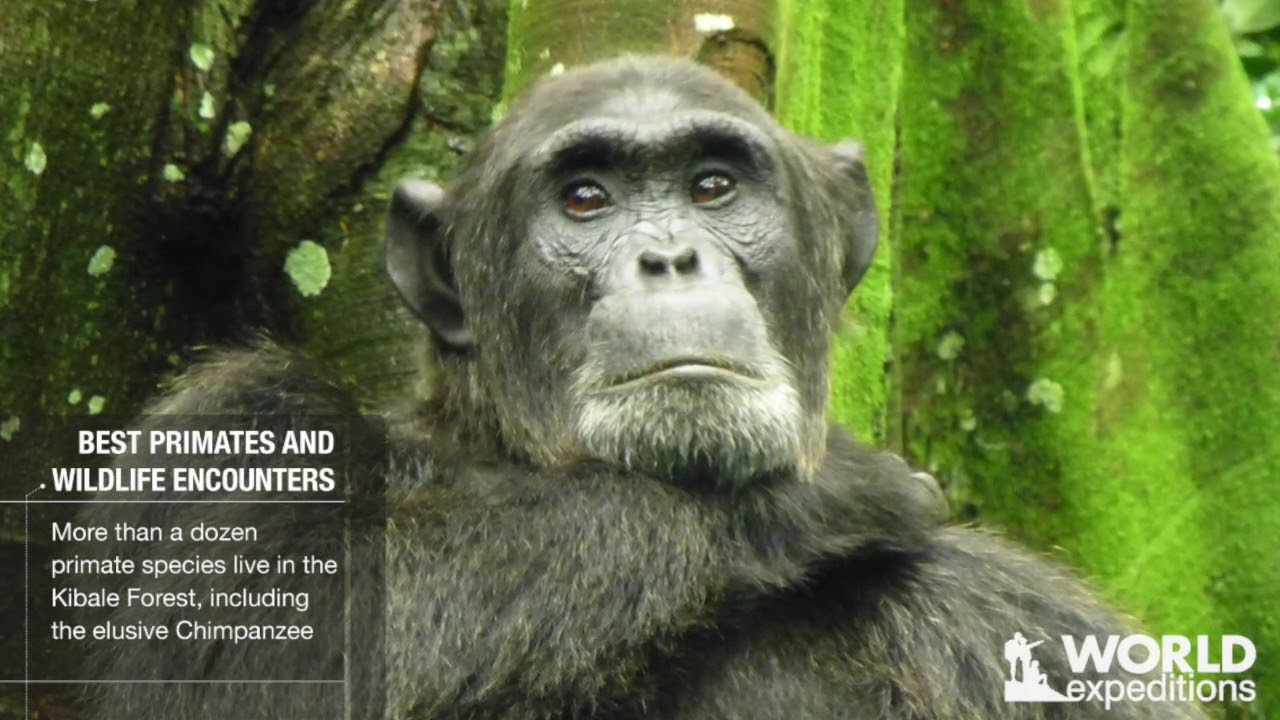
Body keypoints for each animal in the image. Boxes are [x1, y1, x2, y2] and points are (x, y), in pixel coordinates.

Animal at [74, 56, 1207, 719]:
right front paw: (808, 500)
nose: (668, 256)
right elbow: (256, 647)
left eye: (712, 186)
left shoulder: (1045, 632)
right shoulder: (234, 432)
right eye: (585, 200)